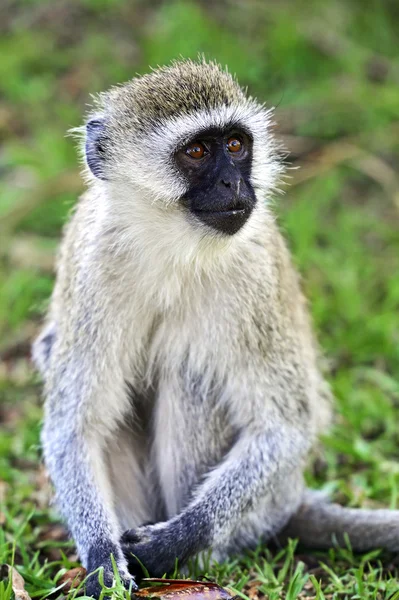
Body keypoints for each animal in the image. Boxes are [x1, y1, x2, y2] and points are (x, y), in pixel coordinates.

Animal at [33, 59, 399, 596]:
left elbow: (283, 426)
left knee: (190, 372)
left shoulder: (255, 271)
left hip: (262, 510)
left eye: (235, 145)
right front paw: (102, 560)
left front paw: (175, 540)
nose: (233, 185)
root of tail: (292, 498)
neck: (171, 246)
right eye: (197, 151)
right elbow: (75, 427)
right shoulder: (93, 262)